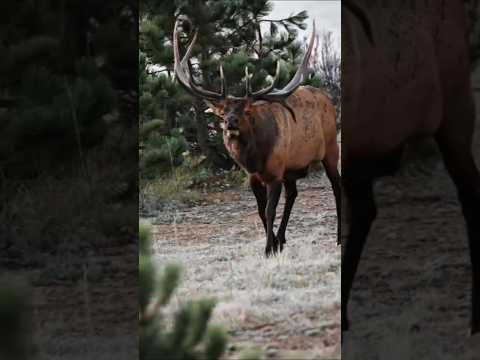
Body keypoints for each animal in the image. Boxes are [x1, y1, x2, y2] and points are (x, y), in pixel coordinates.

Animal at [172, 19, 342, 256]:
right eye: (222, 112)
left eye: (246, 111)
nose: (230, 122)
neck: (255, 159)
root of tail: (328, 98)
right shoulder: (255, 176)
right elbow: (261, 210)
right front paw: (274, 243)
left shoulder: (275, 173)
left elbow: (270, 210)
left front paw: (268, 248)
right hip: (291, 168)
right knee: (293, 194)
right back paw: (282, 238)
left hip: (331, 148)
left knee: (337, 186)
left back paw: (338, 238)